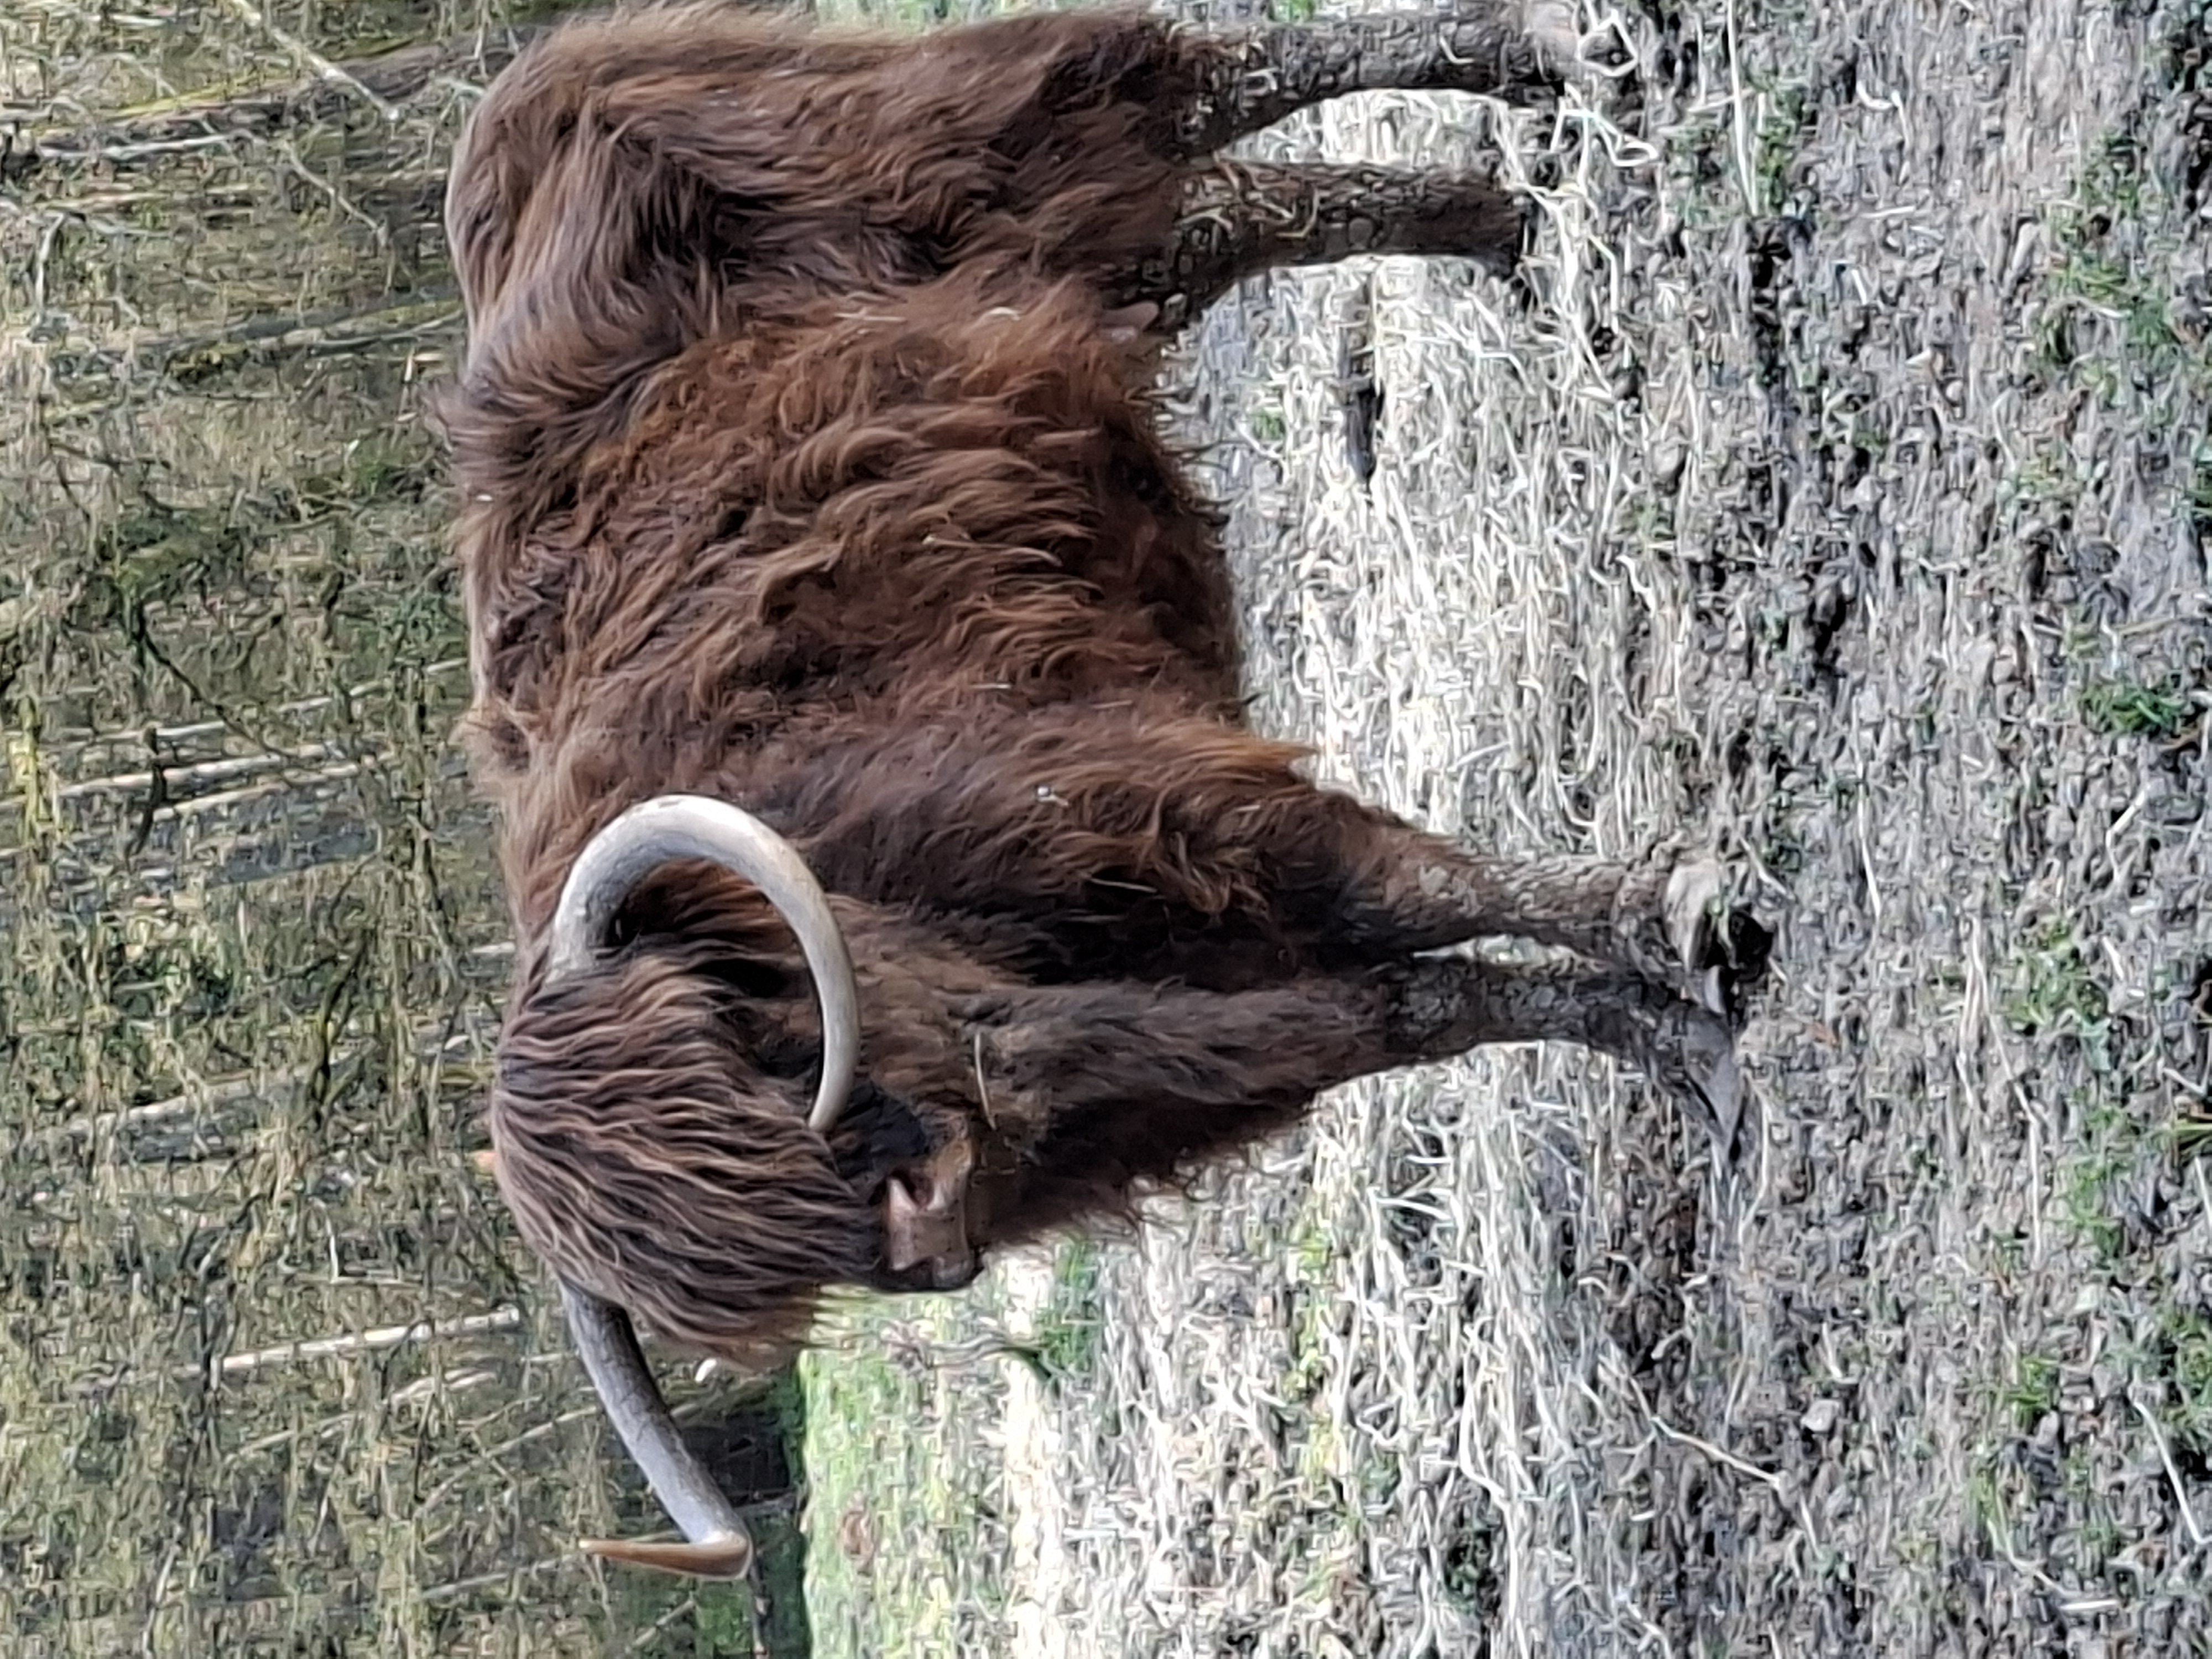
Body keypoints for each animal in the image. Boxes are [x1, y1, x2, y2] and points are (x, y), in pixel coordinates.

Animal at [439, 0, 1757, 1577]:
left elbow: (1419, 888)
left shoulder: (1161, 806)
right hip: (1068, 256)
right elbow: (1424, 1007)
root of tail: (537, 87)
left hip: (979, 126)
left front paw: (1676, 911)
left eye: (760, 1057)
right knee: (1237, 213)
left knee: (1210, 78)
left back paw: (1534, 56)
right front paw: (1667, 1047)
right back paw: (1502, 212)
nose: (933, 1236)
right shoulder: (1201, 1054)